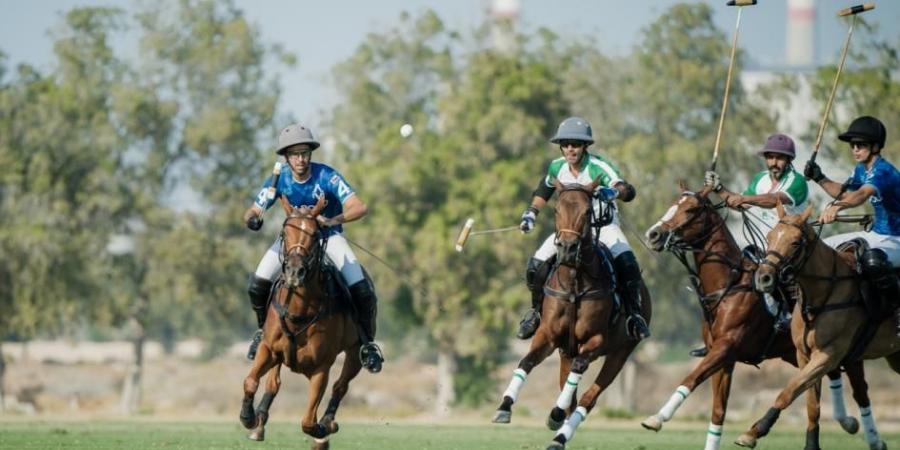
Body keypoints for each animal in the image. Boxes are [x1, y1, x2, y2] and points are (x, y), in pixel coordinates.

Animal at [243, 196, 366, 450]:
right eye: (285, 232)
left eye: (315, 234)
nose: (294, 272)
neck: (300, 309)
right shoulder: (269, 349)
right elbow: (251, 381)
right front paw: (248, 417)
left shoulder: (322, 367)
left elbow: (308, 421)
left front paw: (323, 430)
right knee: (274, 383)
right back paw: (259, 424)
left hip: (354, 352)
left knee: (340, 386)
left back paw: (327, 423)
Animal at [492, 179, 652, 450]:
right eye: (557, 210)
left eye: (588, 211)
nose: (567, 248)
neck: (575, 284)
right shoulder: (548, 336)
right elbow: (526, 362)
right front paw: (504, 406)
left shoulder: (596, 340)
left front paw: (555, 414)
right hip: (566, 350)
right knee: (571, 392)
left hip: (621, 352)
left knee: (587, 398)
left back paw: (559, 433)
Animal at [644, 184, 860, 450]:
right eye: (673, 204)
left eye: (691, 209)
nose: (654, 234)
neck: (728, 285)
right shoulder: (723, 357)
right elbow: (718, 411)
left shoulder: (726, 347)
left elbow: (691, 378)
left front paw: (656, 418)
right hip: (796, 353)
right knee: (828, 374)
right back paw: (847, 421)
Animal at [736, 203, 896, 450]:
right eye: (770, 236)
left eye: (795, 242)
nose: (763, 278)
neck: (820, 295)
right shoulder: (804, 355)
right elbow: (812, 404)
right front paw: (811, 444)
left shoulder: (828, 355)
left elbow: (789, 391)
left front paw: (755, 431)